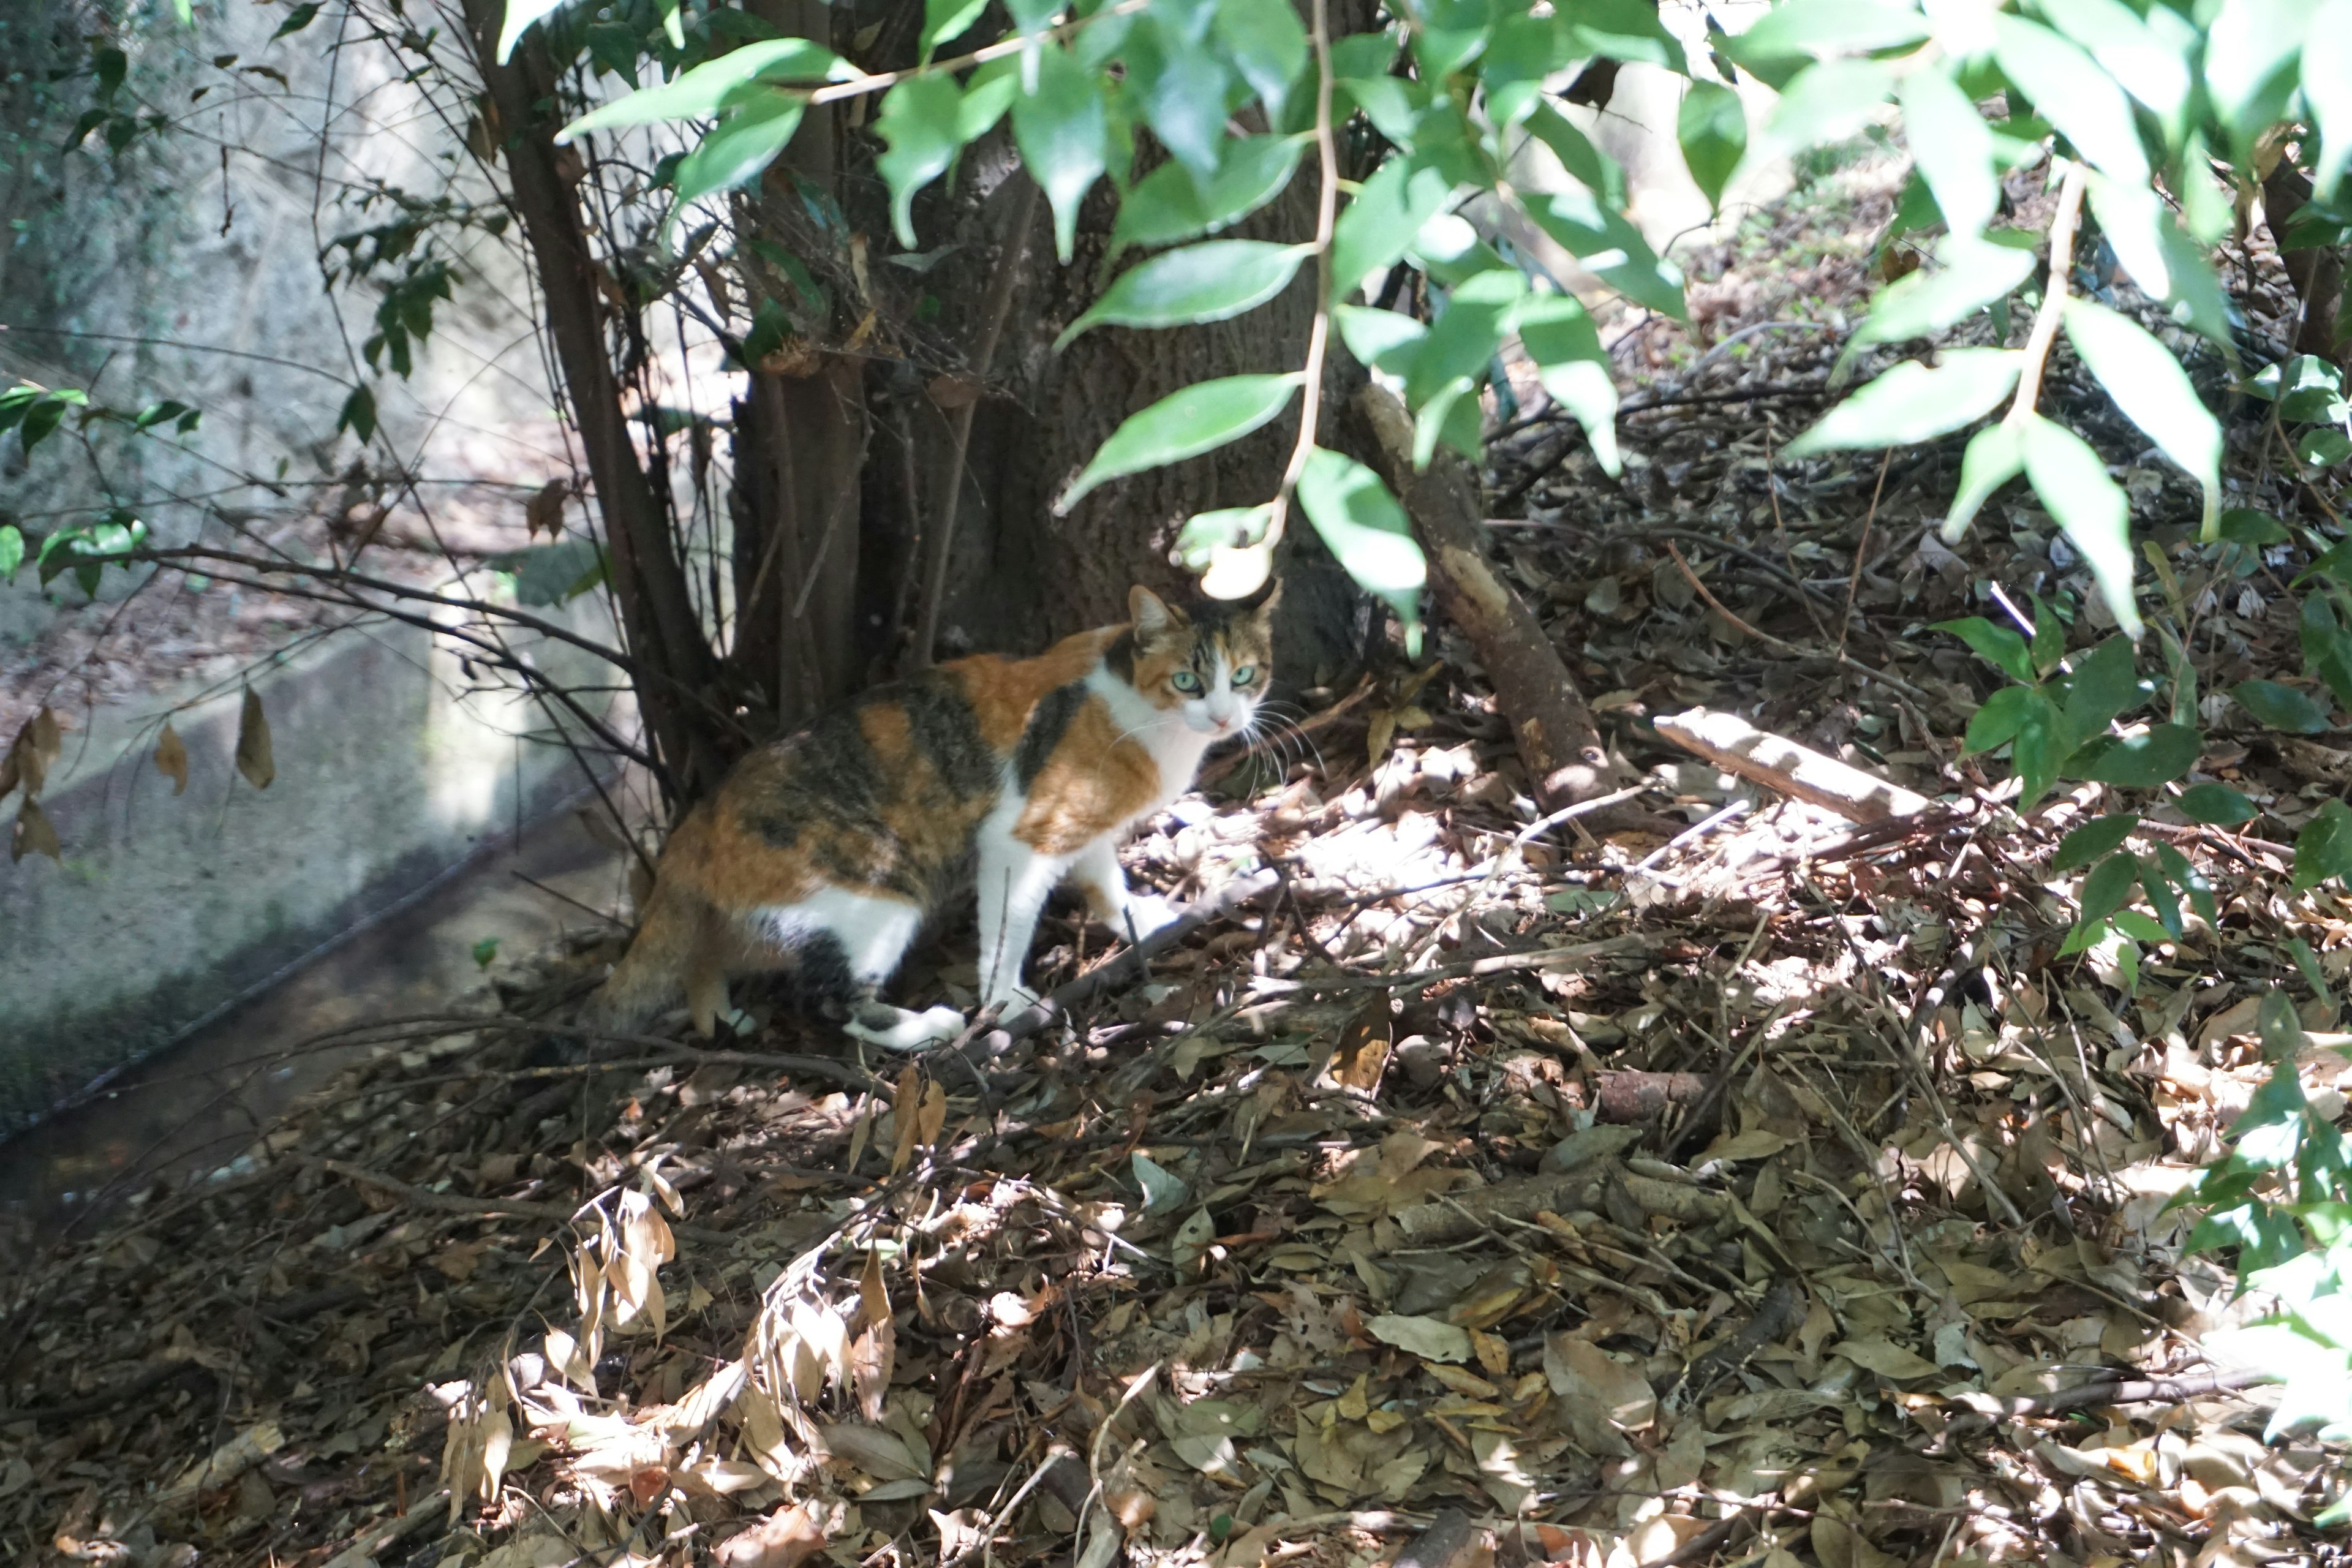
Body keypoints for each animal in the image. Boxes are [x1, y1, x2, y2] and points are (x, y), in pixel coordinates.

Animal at [597, 582, 1279, 1048]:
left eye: (1245, 674)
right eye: (1188, 680)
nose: (1224, 717)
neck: (1136, 705)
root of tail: (695, 824)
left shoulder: (1081, 830)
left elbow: (1104, 880)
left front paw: (1142, 915)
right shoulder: (1021, 837)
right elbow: (1005, 929)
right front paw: (1004, 1001)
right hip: (877, 894)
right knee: (828, 1003)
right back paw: (926, 1027)